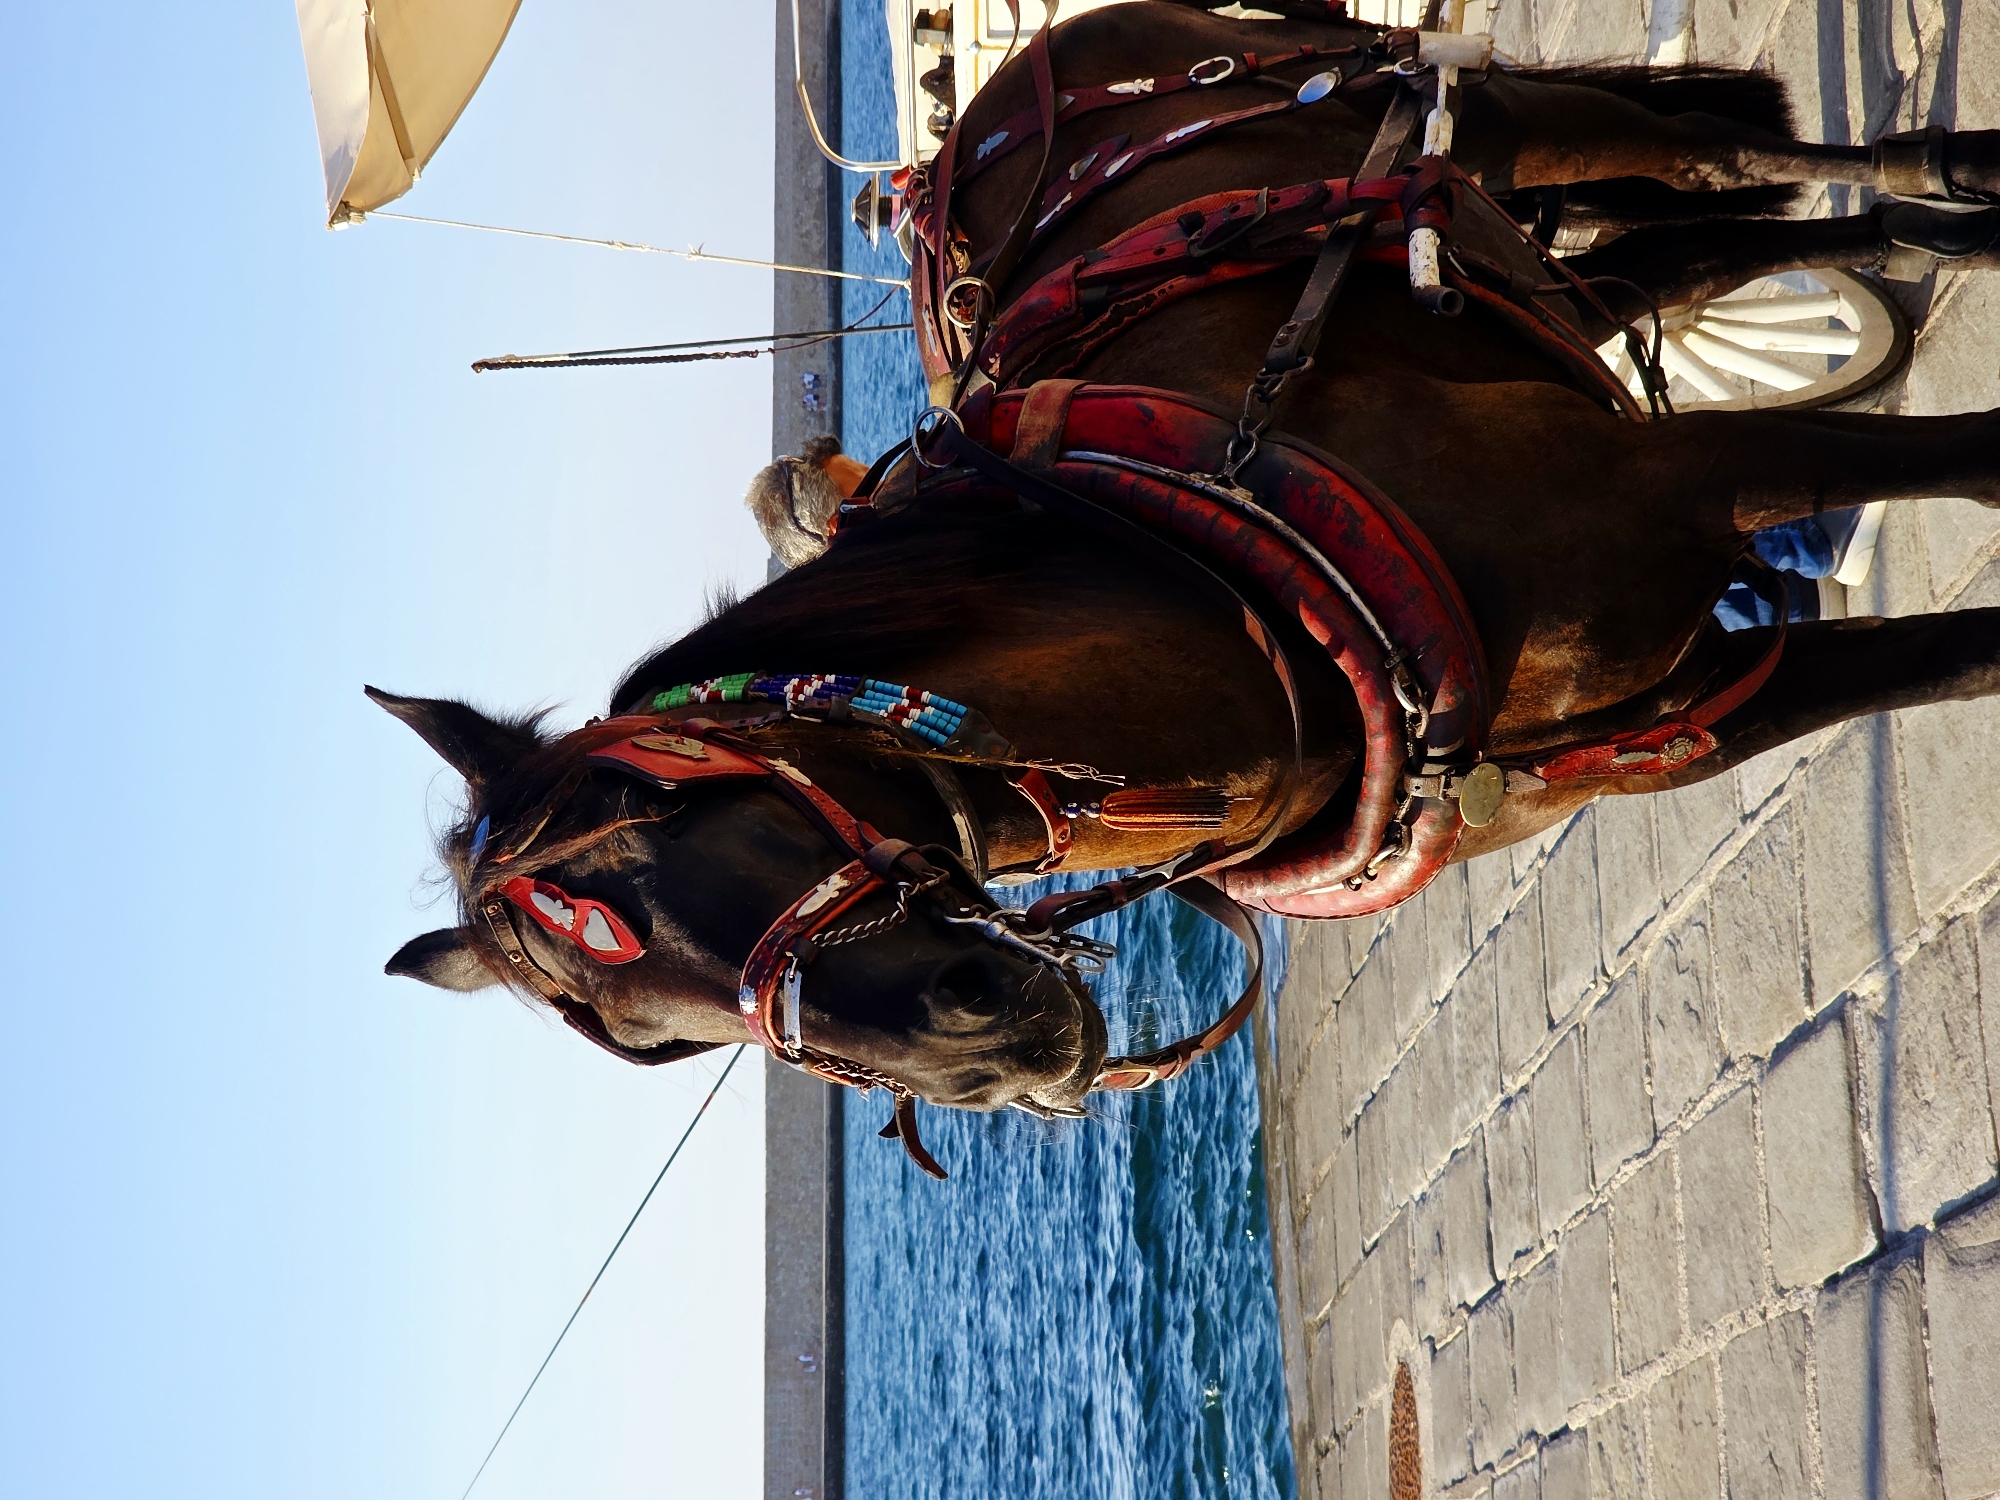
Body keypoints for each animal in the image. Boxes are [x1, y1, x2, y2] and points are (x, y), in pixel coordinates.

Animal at [376, 2, 2000, 1176]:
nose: (977, 1055)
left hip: (1480, 122)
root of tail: (977, 115)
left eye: (648, 831)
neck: (1240, 616)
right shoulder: (1682, 717)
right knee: (1691, 249)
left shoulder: (1694, 481)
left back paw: (1950, 176)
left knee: (1712, 159)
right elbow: (1961, 663)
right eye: (640, 1031)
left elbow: (1973, 470)